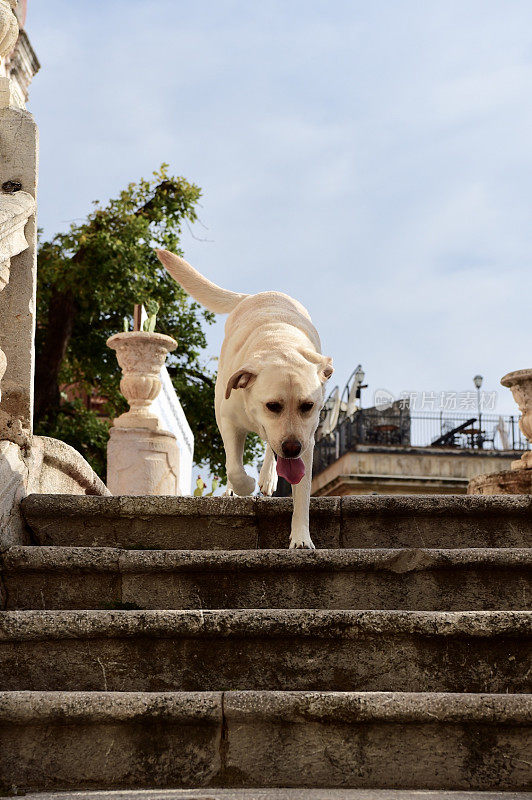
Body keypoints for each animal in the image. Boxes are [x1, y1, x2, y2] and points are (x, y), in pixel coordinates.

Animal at [156, 252, 334, 552]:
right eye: (272, 406)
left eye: (307, 406)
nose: (292, 448)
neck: (279, 344)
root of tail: (256, 295)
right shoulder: (227, 420)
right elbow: (234, 468)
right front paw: (244, 485)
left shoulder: (307, 440)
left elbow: (302, 492)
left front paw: (301, 538)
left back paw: (267, 477)